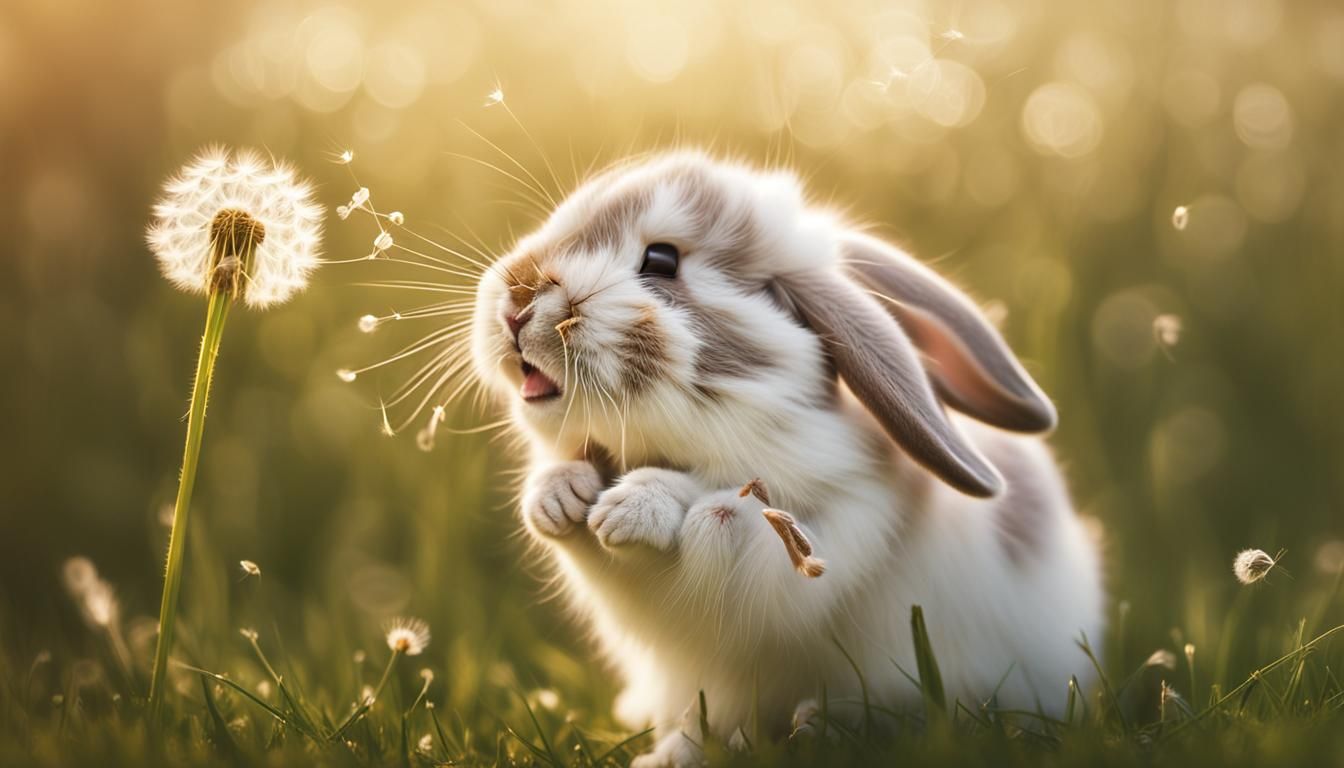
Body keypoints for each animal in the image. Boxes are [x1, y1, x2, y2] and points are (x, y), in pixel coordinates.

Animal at [469, 151, 1104, 766]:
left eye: (661, 260)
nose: (516, 306)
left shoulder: (831, 521)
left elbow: (722, 503)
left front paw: (632, 509)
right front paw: (558, 500)